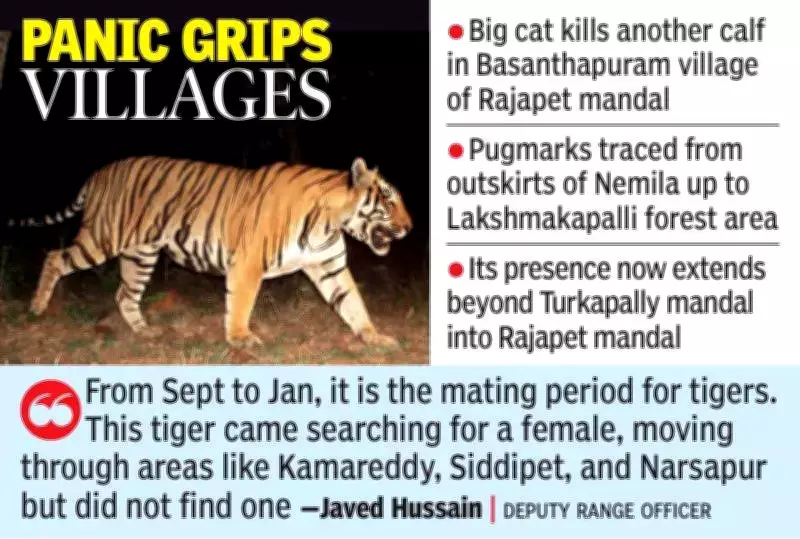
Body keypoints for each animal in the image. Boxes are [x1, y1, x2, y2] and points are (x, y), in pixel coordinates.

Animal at [8, 156, 413, 349]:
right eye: (389, 199)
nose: (410, 228)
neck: (330, 221)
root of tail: (97, 174)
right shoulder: (247, 263)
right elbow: (241, 303)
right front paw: (240, 339)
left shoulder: (329, 266)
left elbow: (353, 304)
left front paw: (375, 338)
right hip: (103, 237)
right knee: (55, 257)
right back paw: (37, 307)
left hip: (140, 254)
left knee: (124, 293)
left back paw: (145, 333)